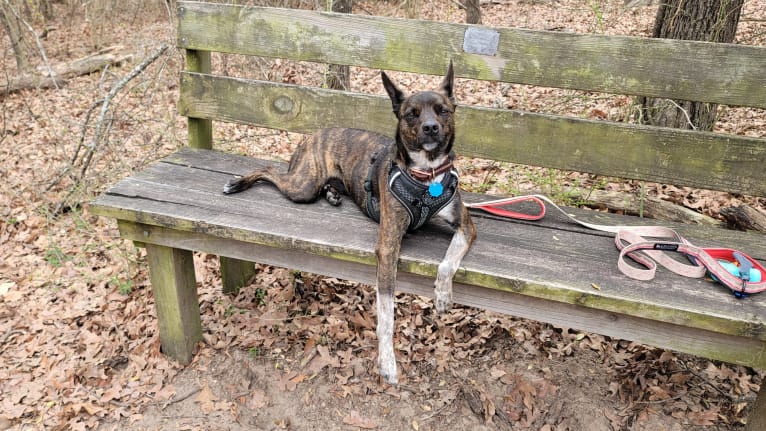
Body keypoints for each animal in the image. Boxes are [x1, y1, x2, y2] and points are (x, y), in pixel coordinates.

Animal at [222, 63, 476, 384]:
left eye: (442, 110)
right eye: (412, 113)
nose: (430, 127)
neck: (428, 175)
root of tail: (312, 135)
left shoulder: (466, 225)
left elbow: (448, 262)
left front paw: (443, 296)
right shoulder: (388, 246)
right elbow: (387, 315)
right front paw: (387, 361)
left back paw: (331, 194)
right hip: (303, 185)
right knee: (269, 170)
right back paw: (238, 183)